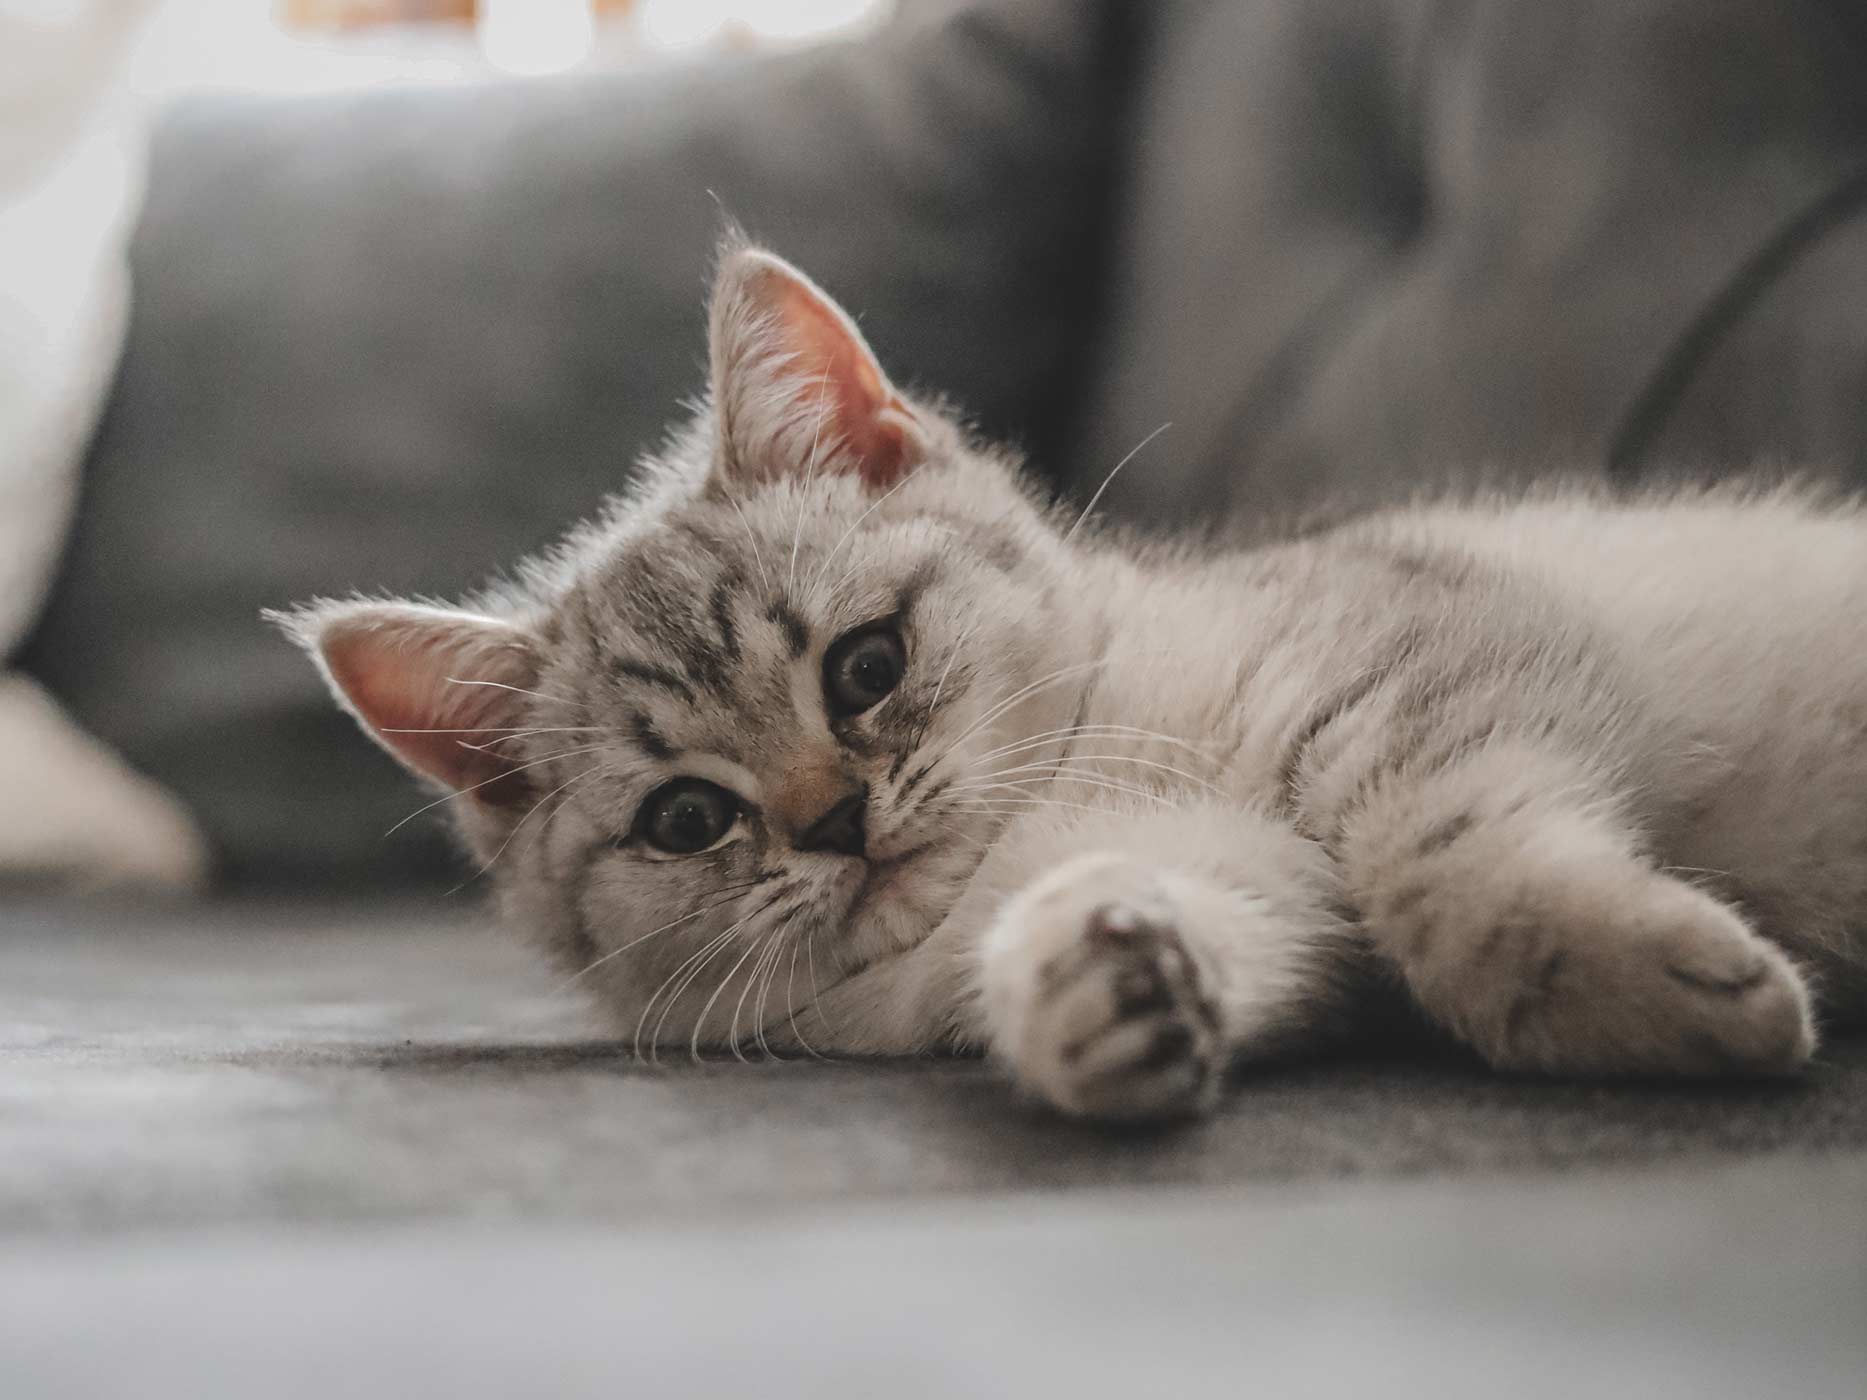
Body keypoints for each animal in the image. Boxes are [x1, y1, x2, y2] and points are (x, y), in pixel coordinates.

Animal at [272, 238, 1867, 1120]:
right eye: (684, 820)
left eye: (865, 665)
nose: (835, 821)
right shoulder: (1256, 885)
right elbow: (1233, 922)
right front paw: (1085, 988)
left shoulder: (1416, 656)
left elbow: (1441, 867)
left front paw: (1637, 983)